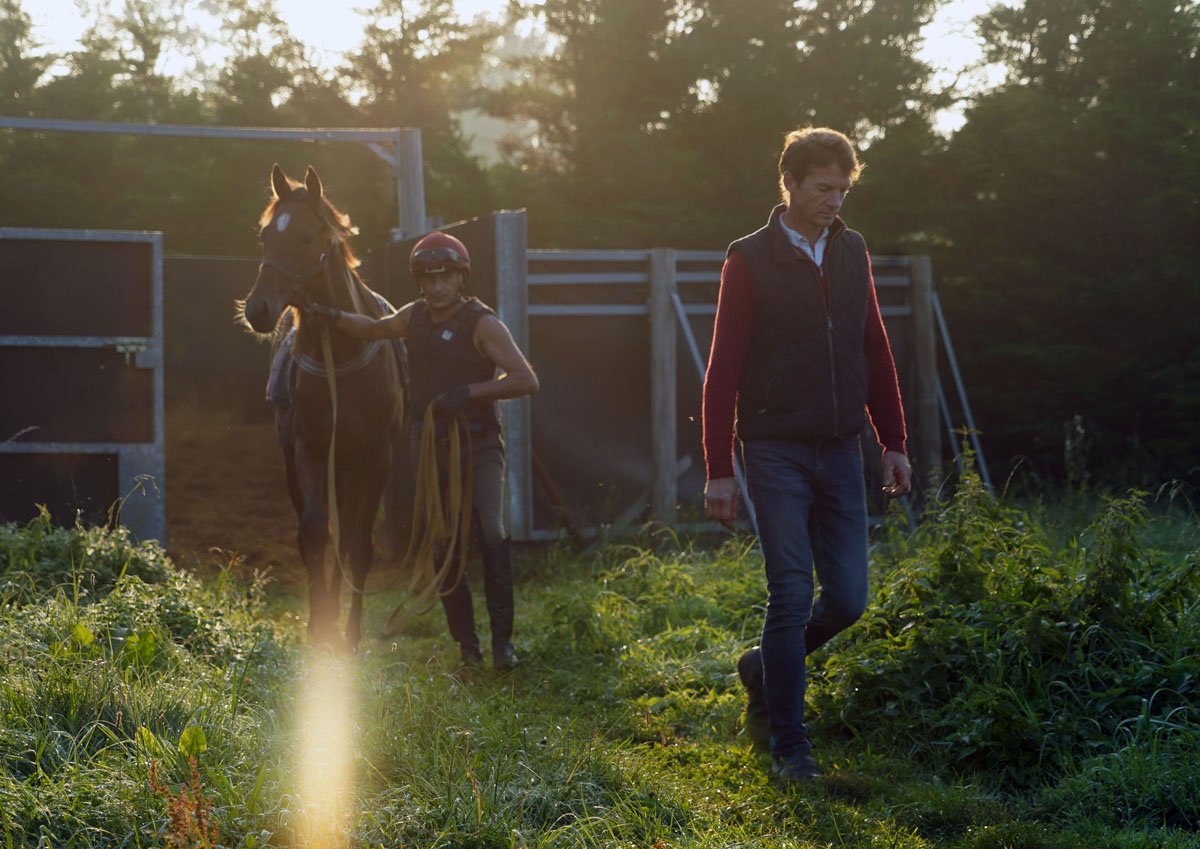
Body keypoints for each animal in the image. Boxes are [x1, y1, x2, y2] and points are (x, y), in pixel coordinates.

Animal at [240, 163, 405, 651]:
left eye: (307, 236)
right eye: (264, 236)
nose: (258, 309)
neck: (341, 349)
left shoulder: (376, 456)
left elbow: (359, 543)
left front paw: (350, 633)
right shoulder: (307, 450)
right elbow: (315, 530)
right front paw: (320, 624)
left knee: (348, 536)